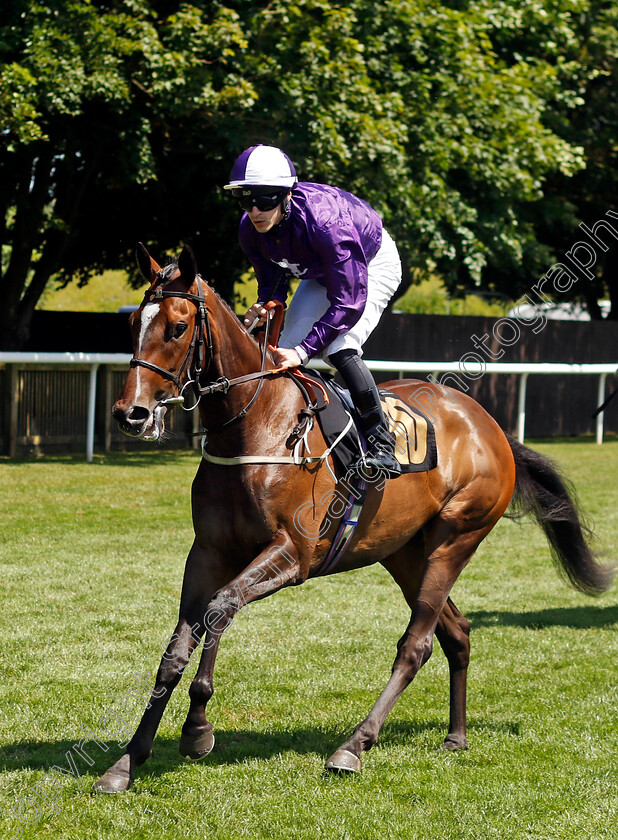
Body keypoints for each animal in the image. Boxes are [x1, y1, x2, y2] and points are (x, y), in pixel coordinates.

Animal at [95, 244, 612, 796]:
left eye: (176, 327)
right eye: (133, 323)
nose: (131, 413)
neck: (256, 425)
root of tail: (488, 424)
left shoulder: (292, 554)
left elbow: (221, 608)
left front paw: (197, 729)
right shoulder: (208, 553)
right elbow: (175, 649)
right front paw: (127, 762)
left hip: (456, 539)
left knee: (417, 644)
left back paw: (354, 745)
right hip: (404, 553)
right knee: (456, 631)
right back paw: (455, 736)